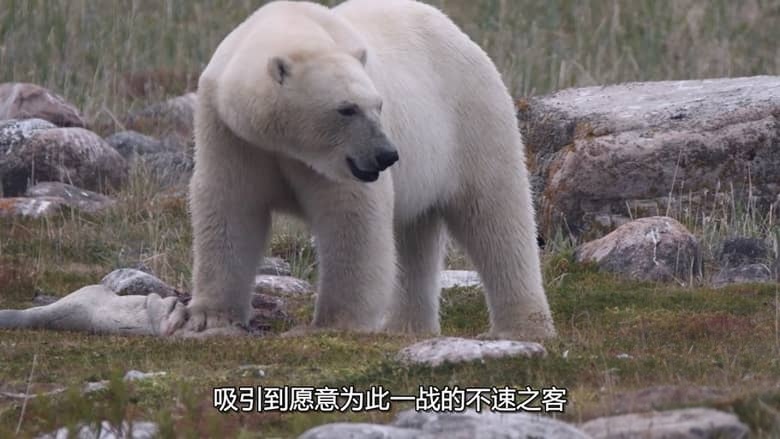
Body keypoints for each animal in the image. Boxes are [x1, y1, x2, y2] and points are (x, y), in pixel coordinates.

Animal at [168, 0, 556, 340]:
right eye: (346, 109)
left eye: (378, 104)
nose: (386, 155)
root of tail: (457, 31)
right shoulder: (231, 132)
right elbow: (231, 207)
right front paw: (208, 317)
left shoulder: (335, 167)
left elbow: (350, 217)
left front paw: (332, 325)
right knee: (415, 237)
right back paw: (406, 327)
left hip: (470, 119)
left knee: (495, 215)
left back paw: (522, 327)